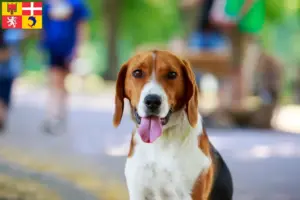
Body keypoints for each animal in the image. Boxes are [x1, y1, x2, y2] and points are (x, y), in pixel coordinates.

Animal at [113, 50, 233, 200]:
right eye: (137, 73)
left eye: (172, 74)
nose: (152, 101)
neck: (160, 142)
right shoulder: (138, 193)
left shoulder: (188, 195)